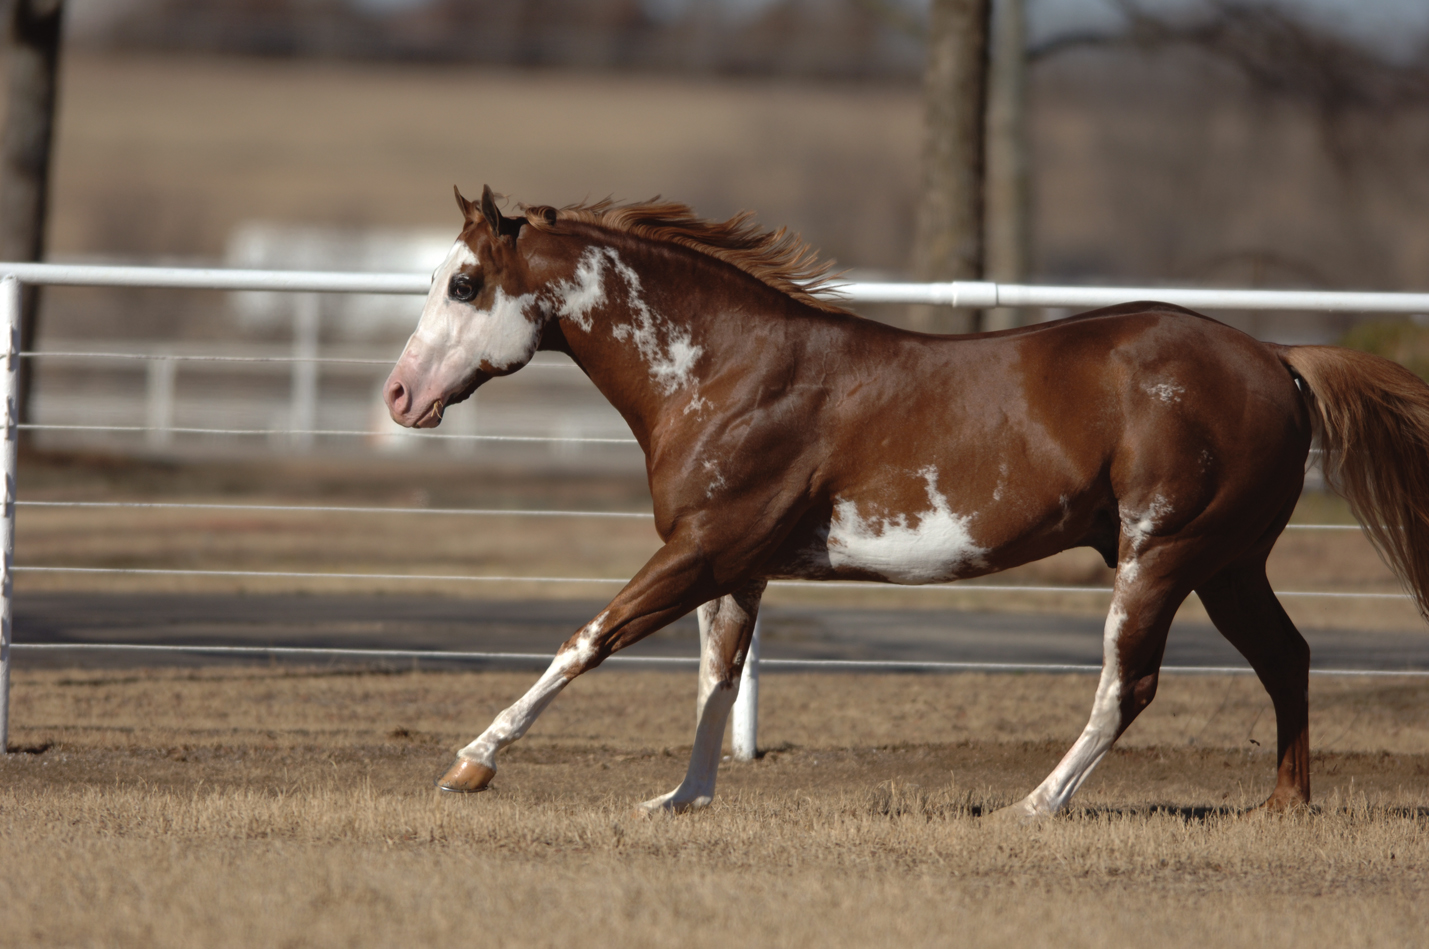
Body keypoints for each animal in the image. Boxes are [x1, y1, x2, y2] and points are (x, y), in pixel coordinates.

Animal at [380, 187, 1429, 823]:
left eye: (464, 282)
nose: (398, 396)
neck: (727, 371)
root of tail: (1277, 359)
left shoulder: (702, 548)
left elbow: (586, 640)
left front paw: (469, 762)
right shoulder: (736, 567)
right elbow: (717, 678)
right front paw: (680, 799)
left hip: (1161, 557)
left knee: (1127, 684)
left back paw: (1034, 804)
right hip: (1227, 564)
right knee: (1285, 658)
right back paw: (1282, 805)